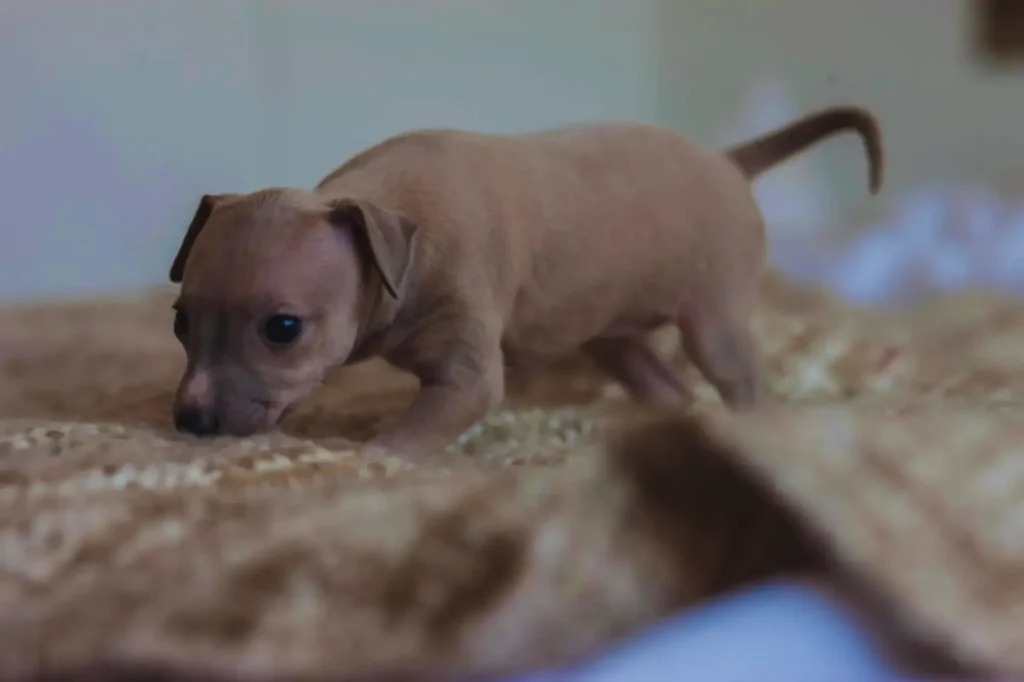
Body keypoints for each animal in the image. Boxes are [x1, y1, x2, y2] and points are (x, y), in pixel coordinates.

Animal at [165, 104, 880, 456]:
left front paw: (368, 459)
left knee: (740, 383)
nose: (191, 420)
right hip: (612, 333)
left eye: (283, 328)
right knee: (665, 385)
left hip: (715, 322)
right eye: (181, 321)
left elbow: (406, 438)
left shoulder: (467, 371)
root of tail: (728, 161)